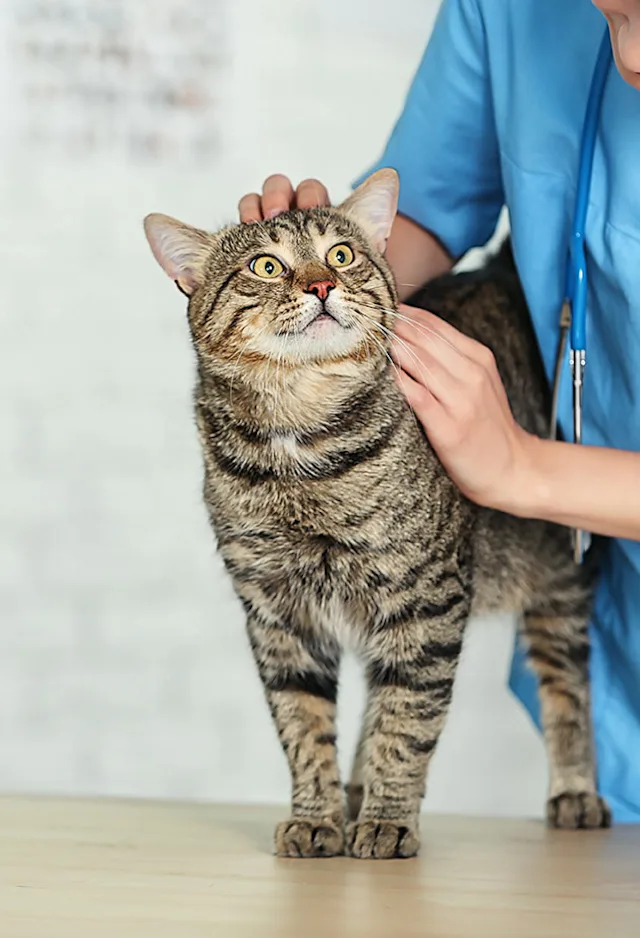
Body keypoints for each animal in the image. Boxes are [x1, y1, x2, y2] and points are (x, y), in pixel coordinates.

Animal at [144, 168, 608, 856]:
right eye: (266, 265)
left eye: (341, 254)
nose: (321, 284)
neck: (301, 441)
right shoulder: (278, 614)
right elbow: (303, 725)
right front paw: (318, 817)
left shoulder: (427, 599)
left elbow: (407, 719)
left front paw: (389, 819)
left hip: (560, 578)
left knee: (566, 682)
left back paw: (574, 791)